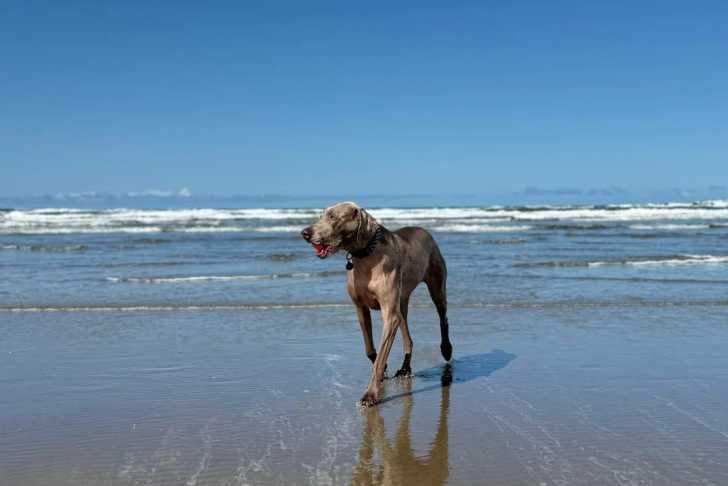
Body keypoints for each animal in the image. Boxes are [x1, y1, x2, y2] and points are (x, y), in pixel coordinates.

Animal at [301, 201, 452, 406]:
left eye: (333, 217)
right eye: (320, 215)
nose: (305, 233)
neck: (366, 255)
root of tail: (423, 230)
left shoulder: (389, 313)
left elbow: (380, 357)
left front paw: (370, 394)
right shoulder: (360, 307)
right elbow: (370, 349)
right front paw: (384, 370)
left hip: (436, 284)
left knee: (443, 317)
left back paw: (446, 349)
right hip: (401, 301)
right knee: (408, 337)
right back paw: (405, 369)